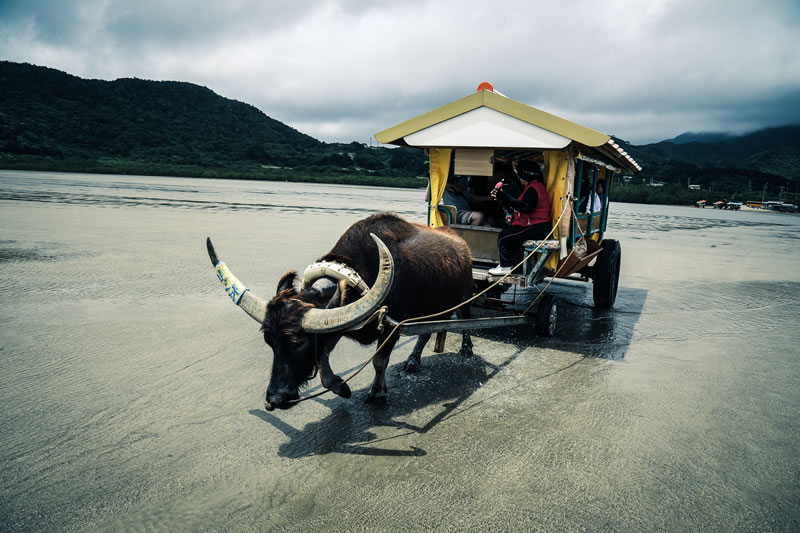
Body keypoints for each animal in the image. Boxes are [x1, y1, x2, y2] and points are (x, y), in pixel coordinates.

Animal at [209, 211, 478, 408]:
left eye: (298, 343)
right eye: (269, 342)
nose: (275, 399)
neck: (361, 278)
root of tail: (462, 243)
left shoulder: (391, 325)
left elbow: (379, 360)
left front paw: (378, 393)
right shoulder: (339, 322)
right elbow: (323, 362)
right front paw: (341, 387)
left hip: (465, 295)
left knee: (465, 320)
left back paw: (466, 349)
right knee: (426, 332)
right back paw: (413, 360)